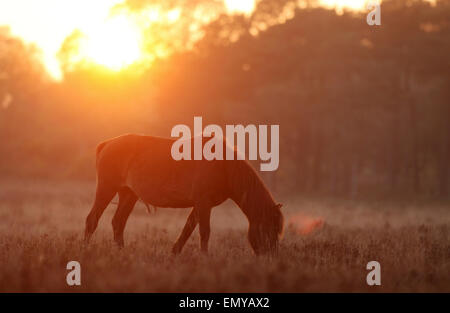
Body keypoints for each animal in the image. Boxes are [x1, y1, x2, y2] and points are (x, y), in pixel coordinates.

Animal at [82, 134, 284, 254]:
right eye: (269, 229)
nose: (270, 258)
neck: (223, 166)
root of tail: (107, 143)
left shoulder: (201, 204)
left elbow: (188, 229)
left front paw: (175, 252)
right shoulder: (203, 203)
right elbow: (204, 232)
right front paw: (204, 258)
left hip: (128, 194)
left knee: (118, 223)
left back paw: (121, 253)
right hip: (107, 188)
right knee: (92, 220)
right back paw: (85, 251)